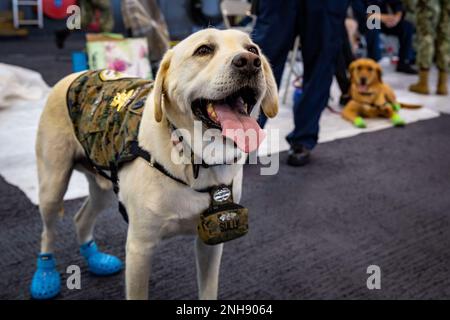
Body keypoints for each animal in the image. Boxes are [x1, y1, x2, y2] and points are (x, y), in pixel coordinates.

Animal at [30, 28, 278, 300]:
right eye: (204, 50)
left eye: (253, 49)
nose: (250, 62)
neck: (197, 158)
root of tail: (76, 74)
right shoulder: (139, 247)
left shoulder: (211, 242)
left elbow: (208, 290)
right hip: (53, 186)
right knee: (47, 231)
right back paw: (45, 276)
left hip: (105, 185)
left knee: (81, 217)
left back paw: (95, 259)